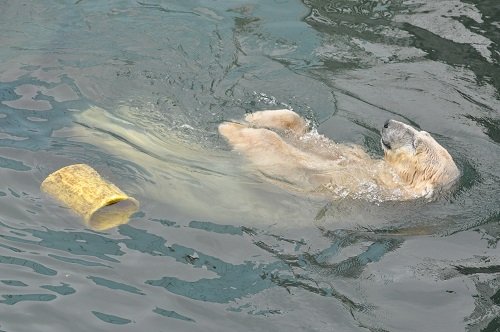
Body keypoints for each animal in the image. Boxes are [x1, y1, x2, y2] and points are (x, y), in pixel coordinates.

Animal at [217, 110, 458, 201]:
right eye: (420, 133)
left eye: (416, 143)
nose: (387, 123)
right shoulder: (355, 156)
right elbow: (307, 135)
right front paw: (254, 117)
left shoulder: (348, 182)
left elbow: (284, 155)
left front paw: (231, 128)